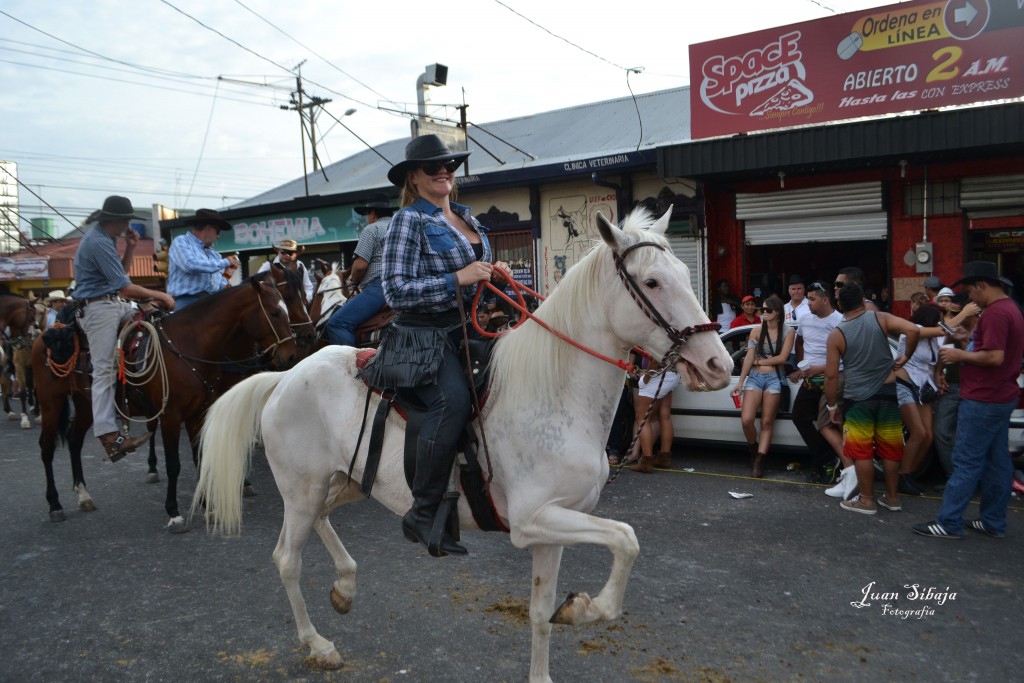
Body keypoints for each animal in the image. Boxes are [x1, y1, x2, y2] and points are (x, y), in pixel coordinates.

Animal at [33, 272, 296, 528]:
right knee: (46, 449)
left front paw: (206, 507)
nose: (291, 356)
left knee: (74, 440)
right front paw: (174, 512)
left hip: (86, 404)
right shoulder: (171, 415)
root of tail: (46, 334)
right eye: (274, 312)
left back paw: (83, 495)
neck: (188, 345)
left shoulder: (198, 413)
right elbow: (174, 464)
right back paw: (54, 504)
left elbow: (199, 457)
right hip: (51, 403)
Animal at [192, 206, 737, 679]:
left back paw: (345, 586)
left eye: (684, 274)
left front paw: (556, 636)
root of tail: (282, 377)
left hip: (344, 480)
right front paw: (585, 608)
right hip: (302, 489)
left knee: (322, 522)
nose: (719, 365)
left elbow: (541, 612)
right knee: (288, 558)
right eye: (652, 282)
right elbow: (626, 539)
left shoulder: (557, 524)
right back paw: (319, 645)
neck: (555, 392)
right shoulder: (533, 521)